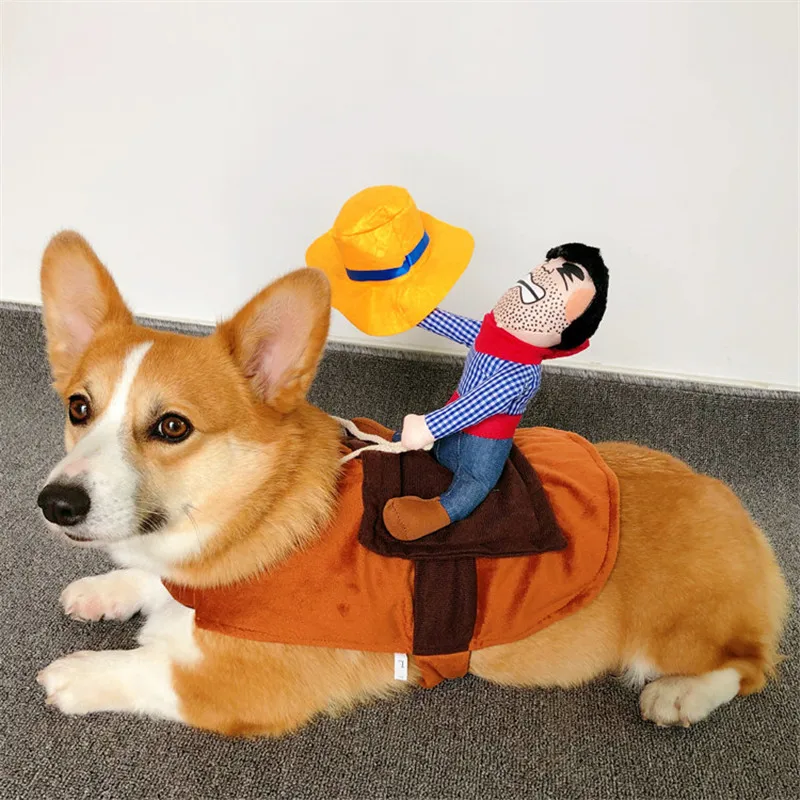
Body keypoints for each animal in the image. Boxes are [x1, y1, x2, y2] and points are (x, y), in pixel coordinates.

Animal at [35, 231, 789, 736]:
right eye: (78, 408)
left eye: (171, 427)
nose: (55, 504)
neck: (252, 520)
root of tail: (728, 500)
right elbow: (146, 579)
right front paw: (104, 590)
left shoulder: (242, 685)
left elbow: (148, 670)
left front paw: (75, 673)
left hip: (676, 635)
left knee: (749, 665)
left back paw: (680, 697)